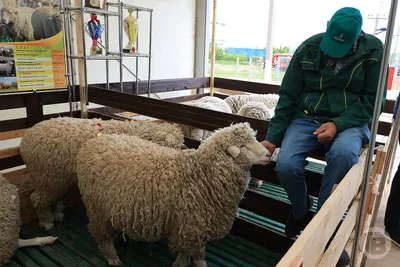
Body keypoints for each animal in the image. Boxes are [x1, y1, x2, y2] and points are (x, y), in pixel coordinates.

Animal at [20, 117, 186, 232]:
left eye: (178, 147)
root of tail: (25, 138)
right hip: (49, 175)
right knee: (37, 198)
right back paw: (46, 222)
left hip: (55, 178)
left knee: (51, 197)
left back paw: (56, 214)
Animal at [76, 123, 270, 267]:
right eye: (243, 146)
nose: (269, 154)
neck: (200, 173)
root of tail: (93, 142)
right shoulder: (187, 226)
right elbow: (185, 254)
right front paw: (181, 263)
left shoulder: (200, 224)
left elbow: (199, 252)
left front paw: (201, 263)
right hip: (96, 207)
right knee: (101, 234)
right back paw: (112, 257)